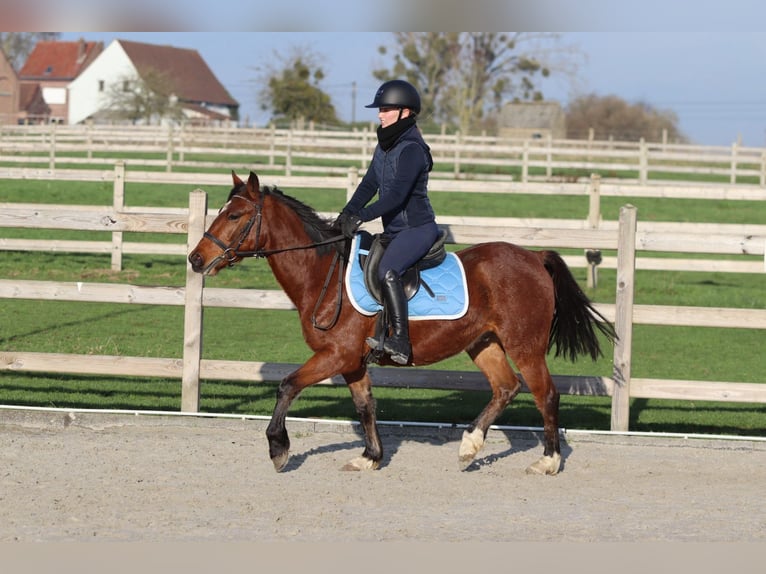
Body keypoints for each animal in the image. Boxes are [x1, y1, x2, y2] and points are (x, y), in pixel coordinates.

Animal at [188, 171, 617, 474]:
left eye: (236, 215)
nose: (195, 258)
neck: (322, 274)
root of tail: (534, 257)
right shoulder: (353, 362)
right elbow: (365, 406)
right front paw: (370, 457)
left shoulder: (336, 355)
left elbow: (288, 386)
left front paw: (278, 448)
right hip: (483, 343)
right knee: (506, 387)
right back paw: (469, 446)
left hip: (524, 346)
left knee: (546, 394)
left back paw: (548, 461)